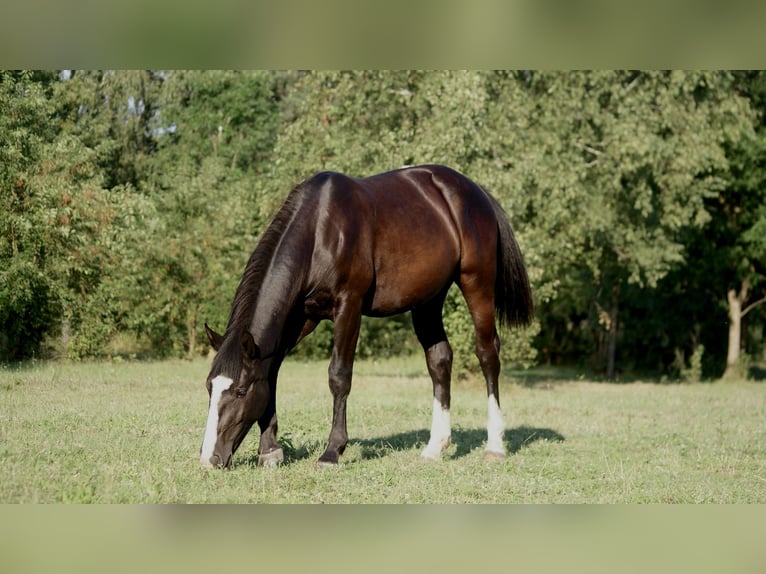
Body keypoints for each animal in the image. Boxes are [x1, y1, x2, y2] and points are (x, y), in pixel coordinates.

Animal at [200, 164, 536, 470]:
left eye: (240, 391)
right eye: (209, 387)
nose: (209, 459)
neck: (320, 231)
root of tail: (476, 192)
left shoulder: (348, 306)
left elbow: (339, 376)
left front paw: (332, 451)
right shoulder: (300, 319)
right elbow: (271, 373)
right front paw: (270, 450)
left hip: (476, 283)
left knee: (487, 354)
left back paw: (495, 445)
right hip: (428, 300)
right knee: (439, 360)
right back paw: (435, 447)